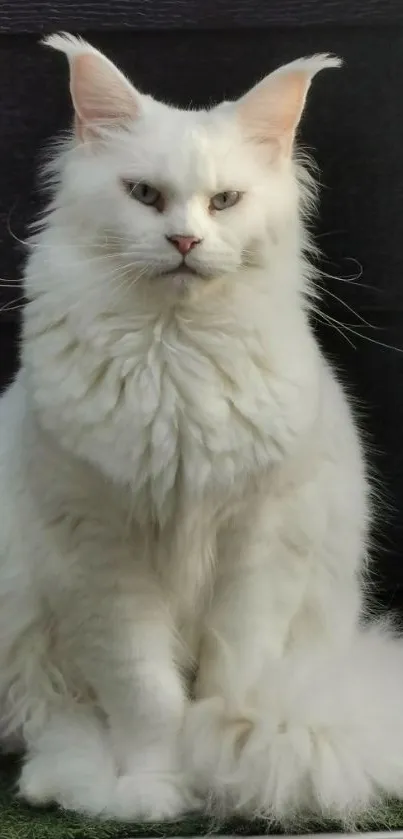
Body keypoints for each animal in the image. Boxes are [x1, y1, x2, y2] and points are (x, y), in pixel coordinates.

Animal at [0, 34, 403, 828]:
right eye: (144, 196)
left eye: (224, 201)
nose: (184, 239)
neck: (174, 356)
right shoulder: (102, 558)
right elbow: (146, 698)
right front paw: (155, 788)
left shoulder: (260, 543)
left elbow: (229, 685)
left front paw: (221, 774)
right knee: (56, 720)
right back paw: (60, 784)